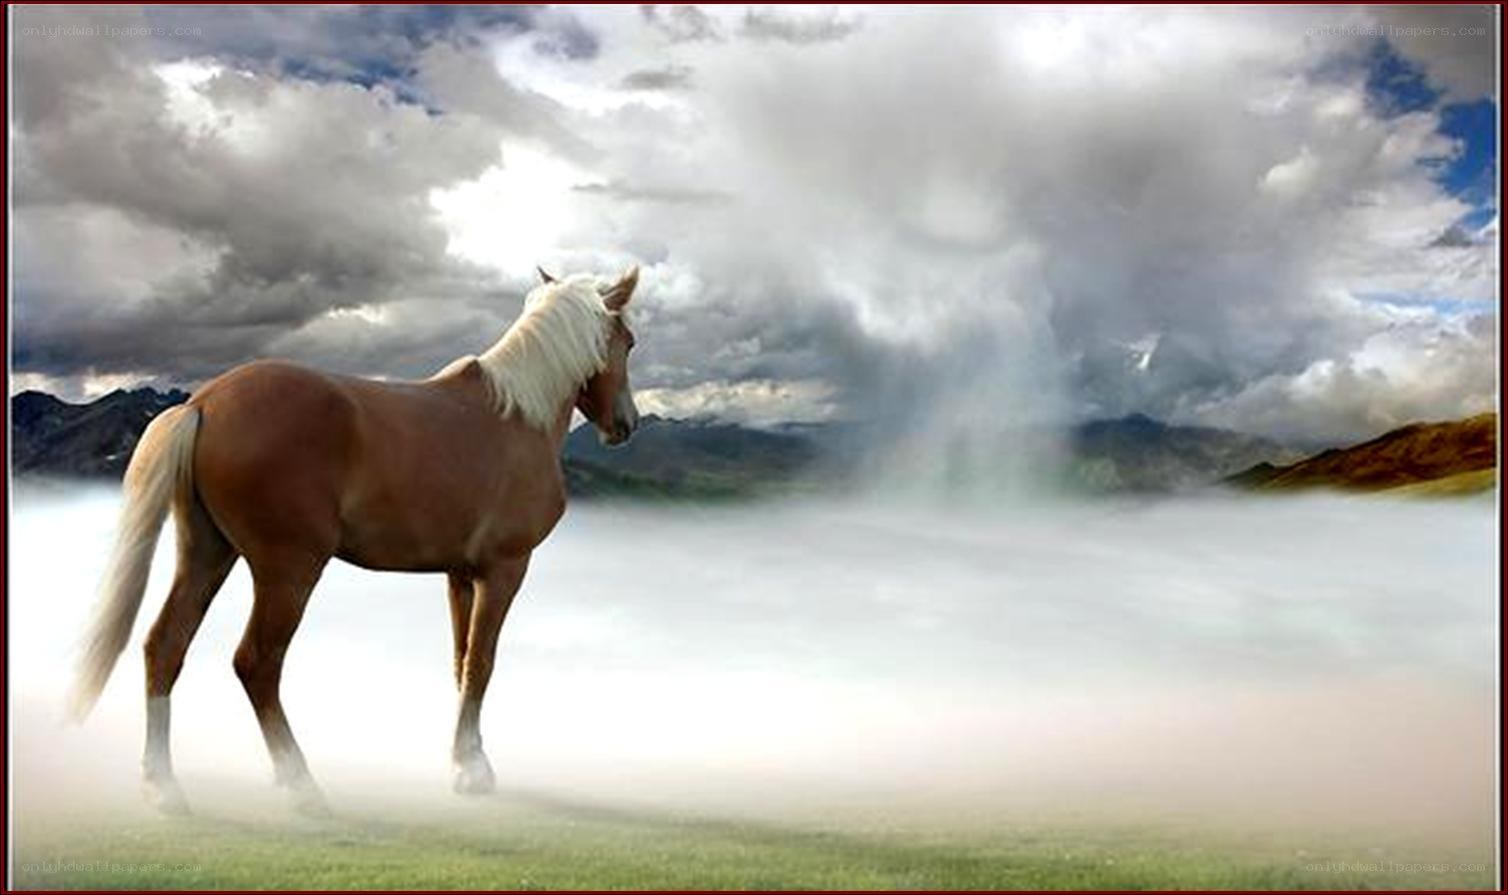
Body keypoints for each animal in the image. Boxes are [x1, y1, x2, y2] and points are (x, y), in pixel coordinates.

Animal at [65, 266, 642, 815]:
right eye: (629, 341)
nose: (627, 424)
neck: (517, 416)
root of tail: (205, 401)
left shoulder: (460, 575)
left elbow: (461, 662)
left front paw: (463, 761)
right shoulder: (505, 570)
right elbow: (482, 663)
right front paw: (474, 773)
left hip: (207, 554)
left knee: (166, 646)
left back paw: (163, 787)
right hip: (288, 572)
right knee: (256, 663)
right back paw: (301, 785)